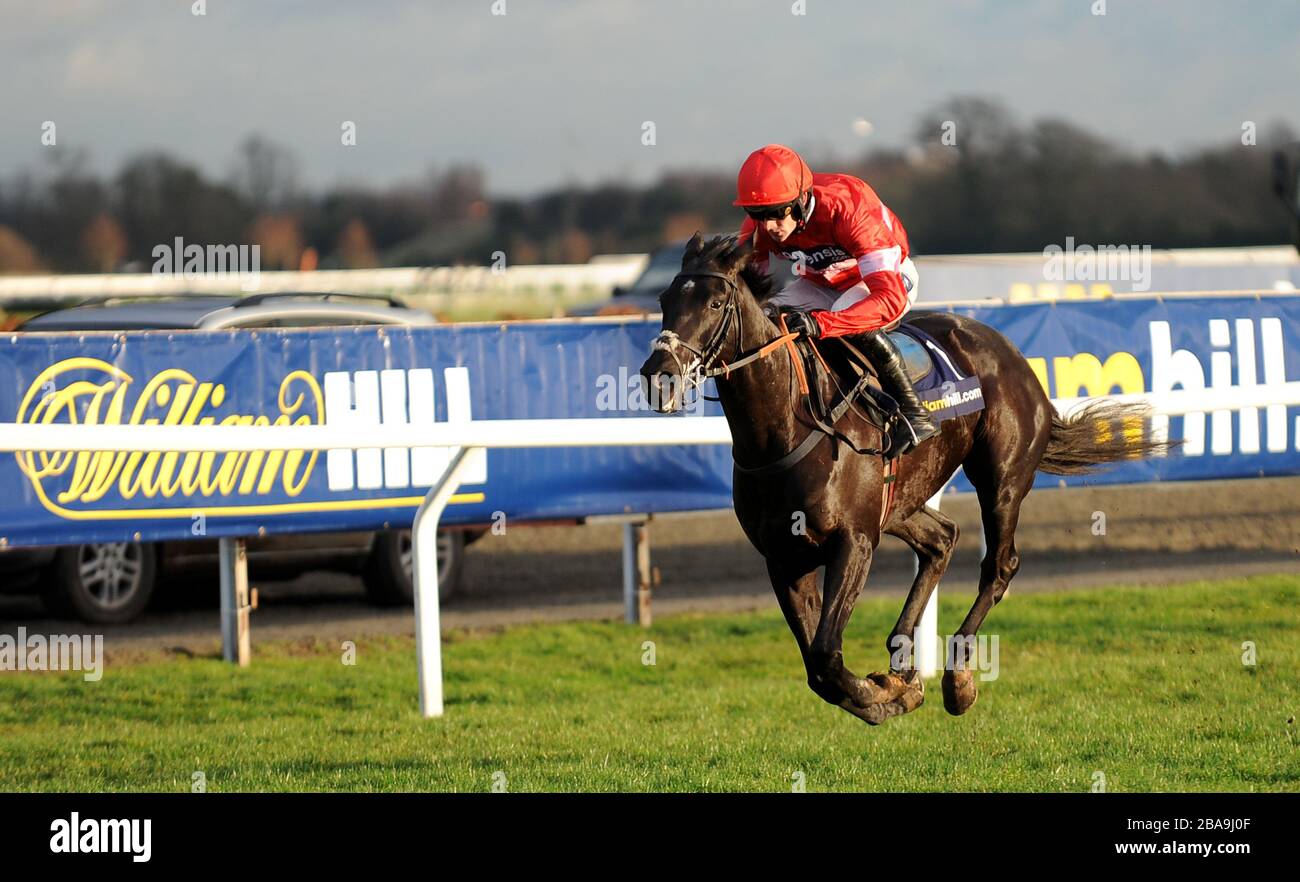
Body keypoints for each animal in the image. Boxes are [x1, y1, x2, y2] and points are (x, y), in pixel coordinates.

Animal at [639, 235, 1170, 723]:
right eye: (664, 301)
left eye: (713, 302)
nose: (657, 375)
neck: (785, 429)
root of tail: (1013, 354)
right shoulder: (783, 556)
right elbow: (817, 667)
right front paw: (892, 690)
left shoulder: (853, 540)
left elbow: (826, 655)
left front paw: (886, 693)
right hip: (899, 503)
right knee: (941, 540)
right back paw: (902, 660)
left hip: (1001, 478)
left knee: (999, 565)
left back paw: (957, 680)